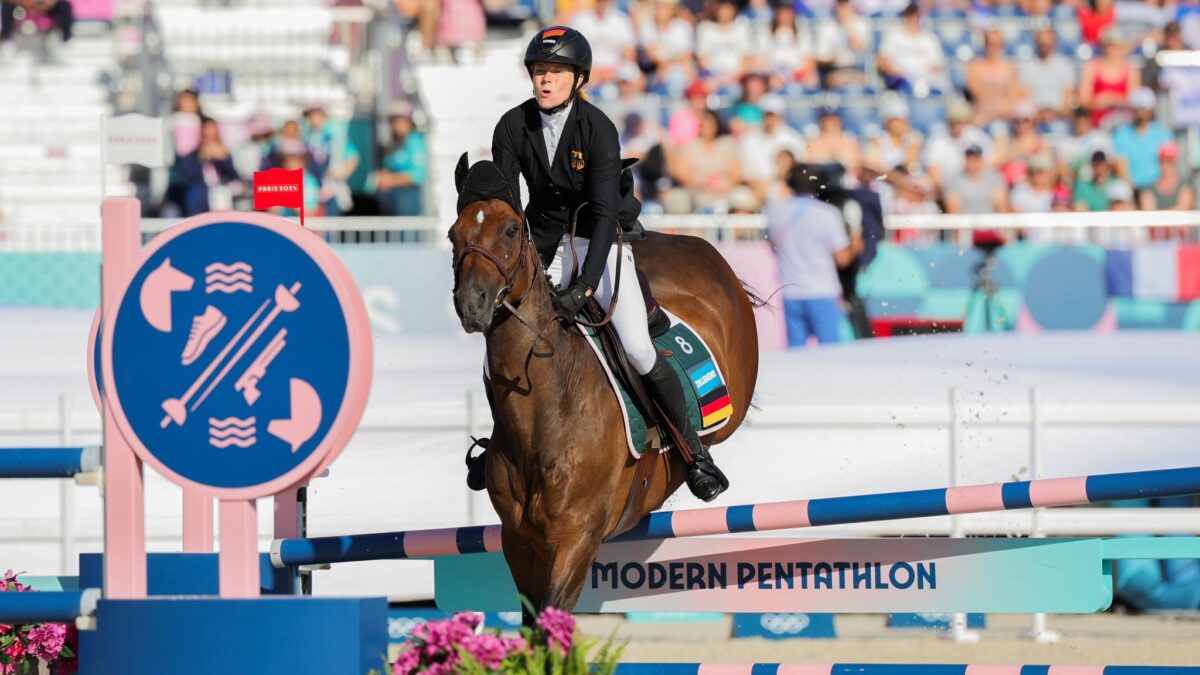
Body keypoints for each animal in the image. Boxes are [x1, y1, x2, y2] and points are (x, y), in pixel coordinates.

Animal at [451, 166, 758, 610]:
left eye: (511, 230)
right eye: (453, 235)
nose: (472, 304)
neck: (546, 410)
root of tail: (698, 244)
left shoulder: (576, 538)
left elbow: (552, 615)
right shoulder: (519, 540)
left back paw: (702, 467)